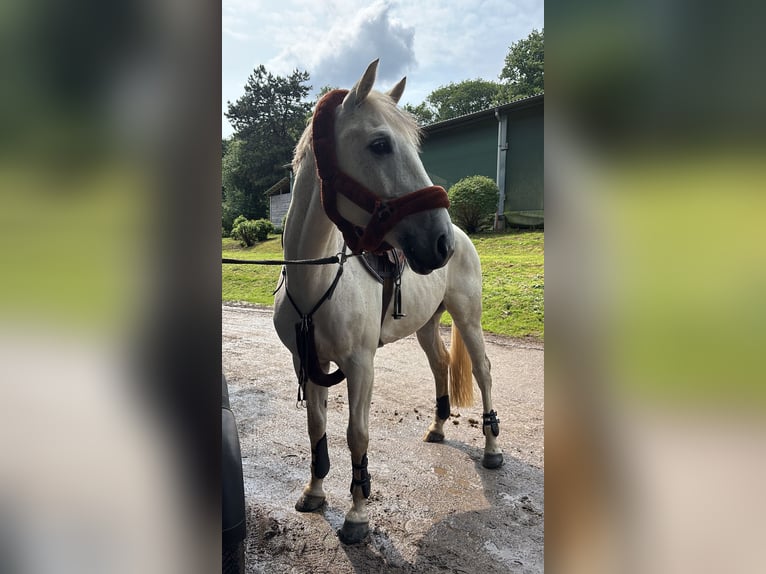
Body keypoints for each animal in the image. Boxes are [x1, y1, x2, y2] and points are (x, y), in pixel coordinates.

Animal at [273, 59, 502, 544]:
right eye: (380, 144)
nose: (439, 242)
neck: (315, 276)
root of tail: (464, 235)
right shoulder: (307, 362)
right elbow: (316, 427)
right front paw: (314, 491)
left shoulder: (360, 364)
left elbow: (356, 434)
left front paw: (357, 513)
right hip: (427, 325)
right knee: (439, 365)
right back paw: (437, 426)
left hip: (468, 320)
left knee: (483, 371)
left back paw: (493, 447)